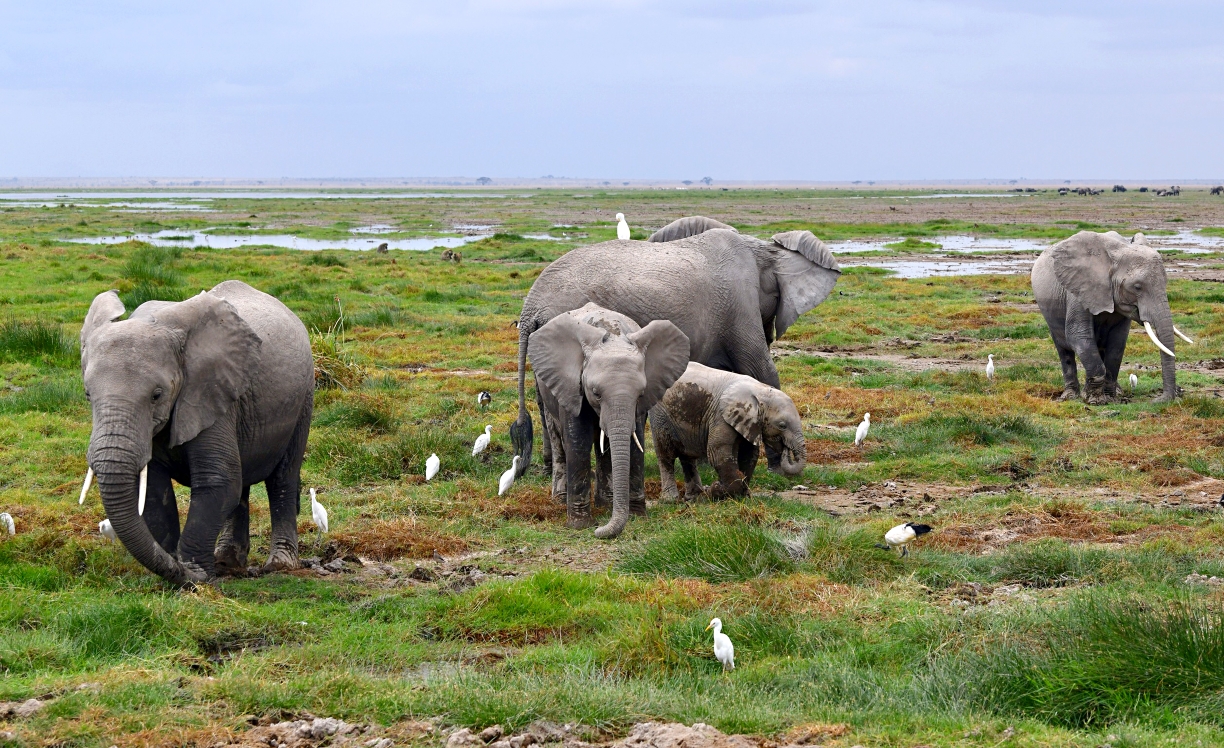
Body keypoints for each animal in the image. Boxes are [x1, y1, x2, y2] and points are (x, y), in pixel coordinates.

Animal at [78, 281, 313, 585]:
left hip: (303, 397)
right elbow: (155, 488)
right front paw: (173, 572)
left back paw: (279, 564)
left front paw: (196, 574)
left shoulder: (210, 392)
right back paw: (226, 562)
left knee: (282, 478)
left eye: (156, 395)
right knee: (243, 482)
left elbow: (218, 480)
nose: (182, 568)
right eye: (88, 394)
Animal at [509, 214, 842, 477]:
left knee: (546, 400)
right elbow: (761, 372)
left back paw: (550, 468)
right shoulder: (739, 306)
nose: (786, 460)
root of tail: (530, 306)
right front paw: (774, 466)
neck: (762, 250)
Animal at [528, 304, 695, 538]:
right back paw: (561, 501)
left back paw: (605, 505)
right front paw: (581, 525)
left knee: (604, 449)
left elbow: (635, 443)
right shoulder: (571, 387)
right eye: (596, 393)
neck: (614, 336)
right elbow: (577, 442)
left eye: (640, 394)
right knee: (557, 438)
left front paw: (637, 516)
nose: (599, 530)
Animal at [646, 364, 807, 504]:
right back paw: (670, 500)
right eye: (782, 425)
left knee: (688, 457)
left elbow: (748, 455)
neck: (760, 390)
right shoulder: (720, 416)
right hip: (660, 414)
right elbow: (718, 453)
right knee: (666, 454)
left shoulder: (750, 423)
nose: (786, 448)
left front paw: (743, 495)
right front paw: (716, 490)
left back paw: (694, 497)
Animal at [1028, 231, 1189, 403]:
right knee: (1064, 350)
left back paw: (1116, 391)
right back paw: (1070, 396)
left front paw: (1110, 398)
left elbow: (1117, 343)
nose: (1158, 400)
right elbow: (1078, 336)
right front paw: (1094, 400)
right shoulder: (1079, 290)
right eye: (1137, 287)